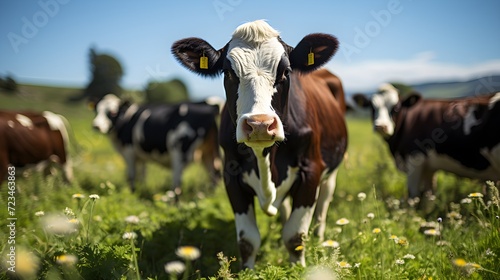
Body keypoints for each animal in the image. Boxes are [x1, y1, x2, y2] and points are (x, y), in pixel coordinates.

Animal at [92, 94, 221, 195]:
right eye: (96, 110)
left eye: (113, 112)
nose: (96, 126)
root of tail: (207, 105)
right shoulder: (141, 156)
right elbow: (142, 175)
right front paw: (141, 190)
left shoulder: (129, 152)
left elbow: (131, 175)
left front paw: (132, 192)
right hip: (208, 152)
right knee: (214, 174)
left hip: (179, 152)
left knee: (177, 181)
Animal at [172, 20, 348, 270]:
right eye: (228, 72)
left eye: (285, 71)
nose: (260, 124)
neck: (264, 157)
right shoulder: (231, 175)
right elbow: (248, 240)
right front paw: (247, 271)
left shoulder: (311, 171)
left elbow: (295, 236)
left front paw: (297, 269)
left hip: (331, 172)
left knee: (323, 208)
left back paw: (322, 239)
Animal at [352, 83, 500, 199]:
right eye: (371, 107)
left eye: (396, 108)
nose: (381, 126)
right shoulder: (429, 167)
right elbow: (429, 196)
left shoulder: (414, 158)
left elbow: (413, 195)